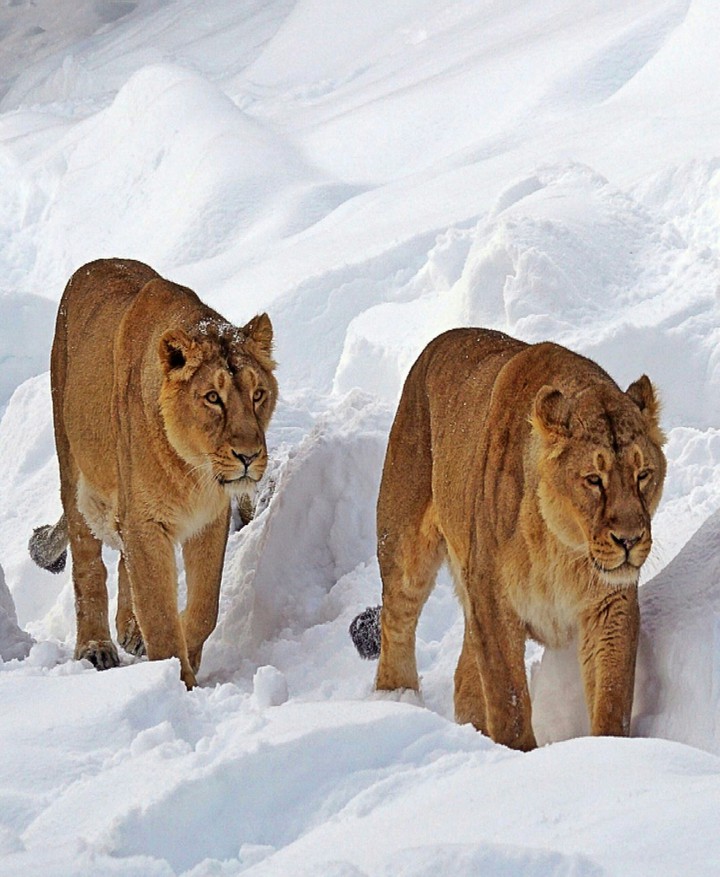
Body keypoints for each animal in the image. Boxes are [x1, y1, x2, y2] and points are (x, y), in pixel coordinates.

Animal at [29, 258, 277, 688]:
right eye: (213, 398)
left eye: (258, 394)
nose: (248, 456)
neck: (193, 470)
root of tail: (96, 264)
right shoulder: (145, 522)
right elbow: (160, 616)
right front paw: (177, 681)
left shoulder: (207, 521)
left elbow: (203, 610)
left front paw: (185, 654)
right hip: (73, 473)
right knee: (88, 566)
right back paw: (95, 647)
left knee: (123, 563)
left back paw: (131, 631)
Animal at [353, 328, 665, 750]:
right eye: (594, 480)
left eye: (643, 474)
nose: (630, 540)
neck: (563, 547)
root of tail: (441, 340)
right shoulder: (493, 602)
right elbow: (509, 701)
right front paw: (518, 756)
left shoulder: (609, 605)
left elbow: (612, 695)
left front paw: (608, 750)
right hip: (404, 546)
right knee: (396, 625)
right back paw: (398, 702)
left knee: (464, 676)